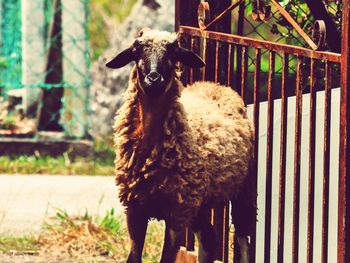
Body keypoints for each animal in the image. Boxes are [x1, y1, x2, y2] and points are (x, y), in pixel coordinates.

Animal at [105, 28, 256, 263]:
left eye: (173, 52)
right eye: (136, 51)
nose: (153, 78)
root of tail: (215, 85)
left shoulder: (177, 213)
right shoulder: (135, 208)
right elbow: (133, 257)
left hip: (242, 189)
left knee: (242, 237)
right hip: (197, 202)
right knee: (209, 238)